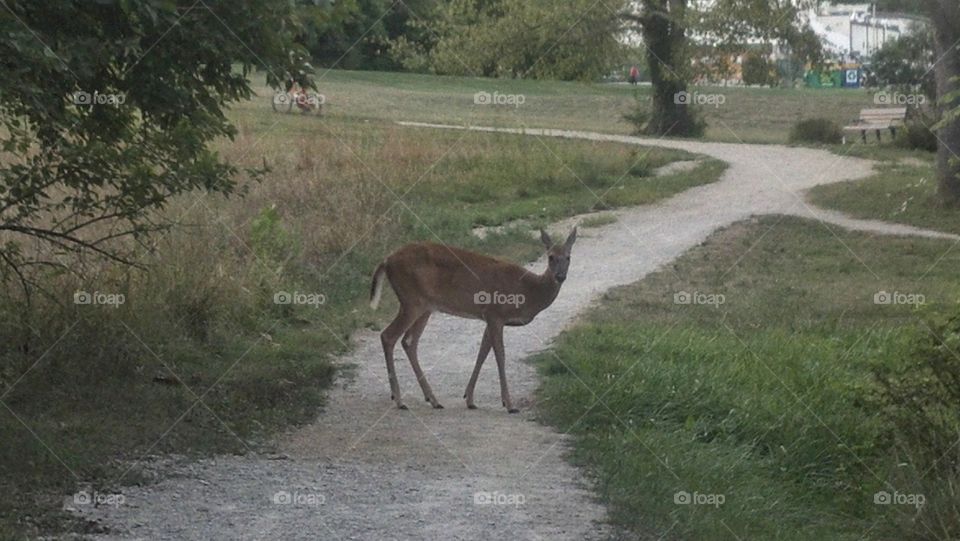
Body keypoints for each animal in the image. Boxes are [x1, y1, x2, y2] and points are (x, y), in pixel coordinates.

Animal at [368, 228, 577, 413]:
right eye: (551, 257)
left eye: (568, 257)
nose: (560, 276)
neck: (528, 290)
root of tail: (387, 260)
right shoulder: (496, 313)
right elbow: (500, 355)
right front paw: (509, 404)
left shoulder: (489, 318)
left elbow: (482, 353)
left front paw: (469, 399)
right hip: (412, 300)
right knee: (388, 336)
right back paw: (399, 400)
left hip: (425, 306)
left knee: (409, 341)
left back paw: (433, 399)